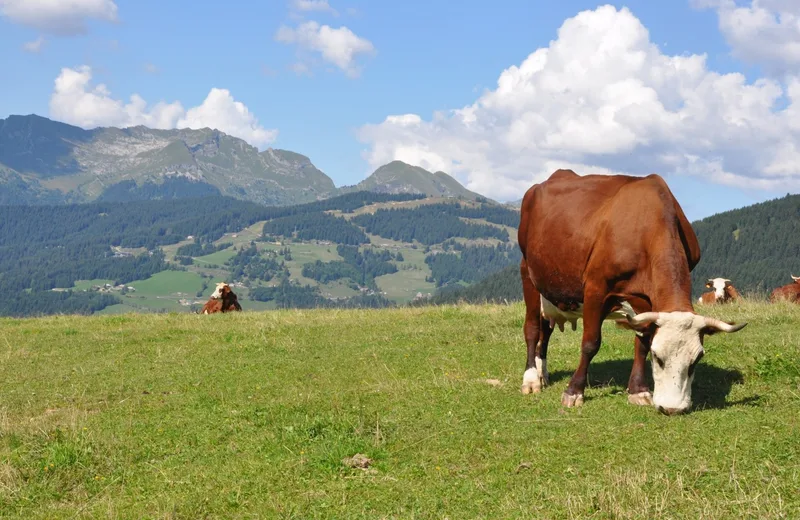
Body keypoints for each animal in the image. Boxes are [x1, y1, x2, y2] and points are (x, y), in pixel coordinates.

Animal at [516, 169, 748, 416]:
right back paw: (531, 379)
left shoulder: (645, 298)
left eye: (696, 360)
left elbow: (642, 341)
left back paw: (543, 373)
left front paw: (638, 390)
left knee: (545, 330)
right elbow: (590, 343)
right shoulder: (596, 288)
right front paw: (574, 391)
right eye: (658, 357)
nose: (672, 408)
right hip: (528, 272)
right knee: (532, 329)